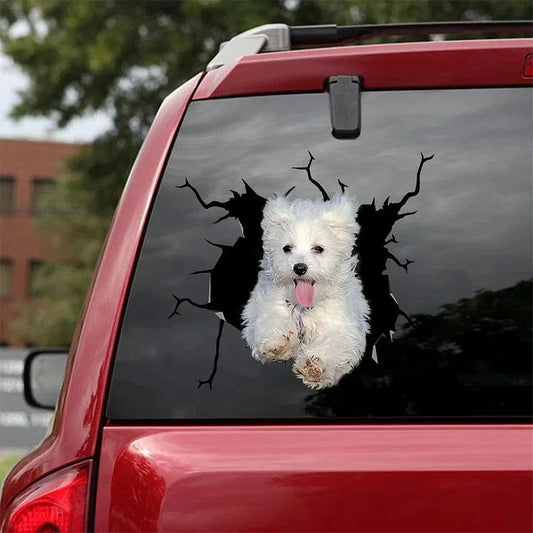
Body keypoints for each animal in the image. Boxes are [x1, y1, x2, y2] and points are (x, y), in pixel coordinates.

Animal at [242, 193, 370, 388]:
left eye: (318, 248)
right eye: (287, 248)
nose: (299, 267)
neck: (304, 307)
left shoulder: (343, 327)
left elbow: (334, 343)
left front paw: (314, 367)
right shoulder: (264, 308)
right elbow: (270, 321)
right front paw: (277, 344)